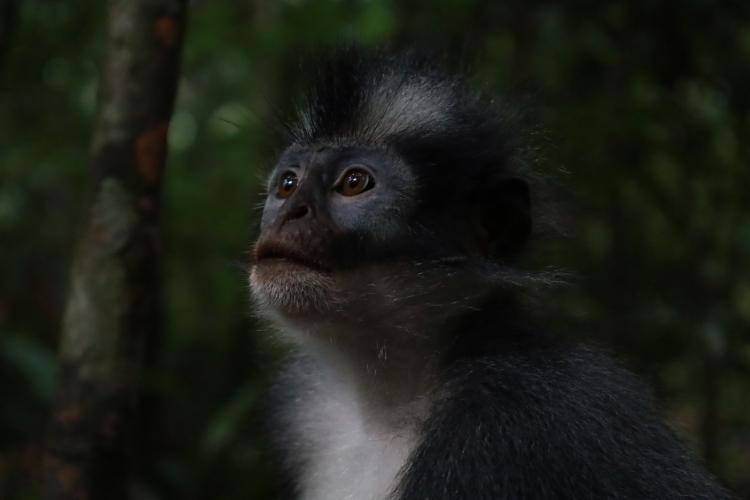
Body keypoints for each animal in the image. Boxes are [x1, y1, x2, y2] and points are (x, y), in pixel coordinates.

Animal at [248, 50, 736, 500]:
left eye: (353, 183)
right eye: (288, 184)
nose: (290, 212)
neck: (388, 399)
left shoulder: (513, 407)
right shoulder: (303, 405)